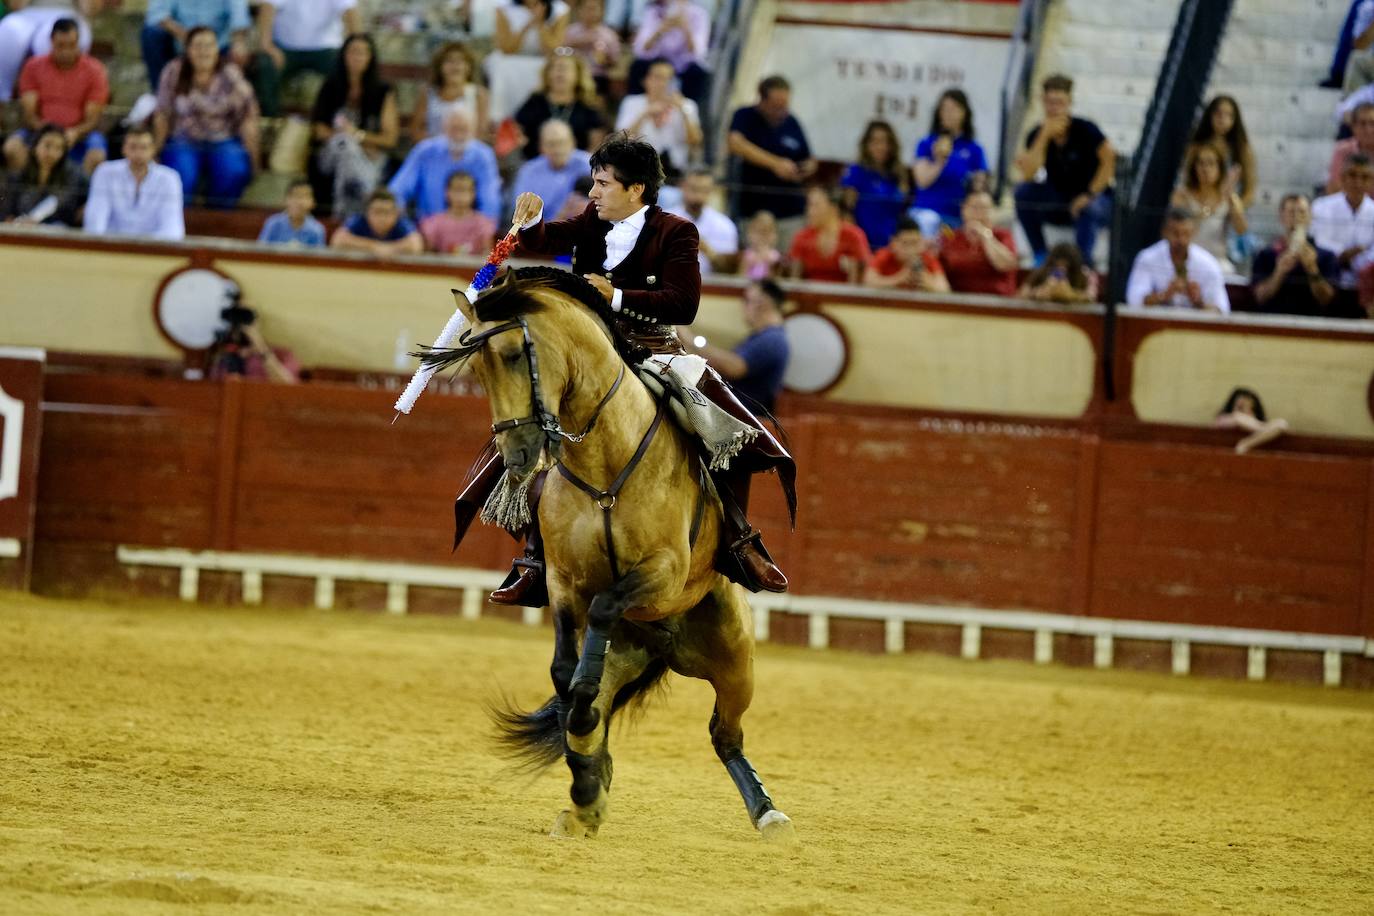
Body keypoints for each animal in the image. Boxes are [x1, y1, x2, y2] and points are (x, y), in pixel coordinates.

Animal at [423, 269, 802, 840]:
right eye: (477, 368)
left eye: (512, 353)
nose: (518, 455)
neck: (604, 461)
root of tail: (662, 645)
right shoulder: (561, 578)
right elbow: (565, 669)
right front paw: (581, 746)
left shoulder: (664, 571)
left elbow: (603, 608)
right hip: (634, 655)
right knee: (603, 706)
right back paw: (585, 794)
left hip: (737, 659)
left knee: (724, 734)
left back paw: (767, 811)